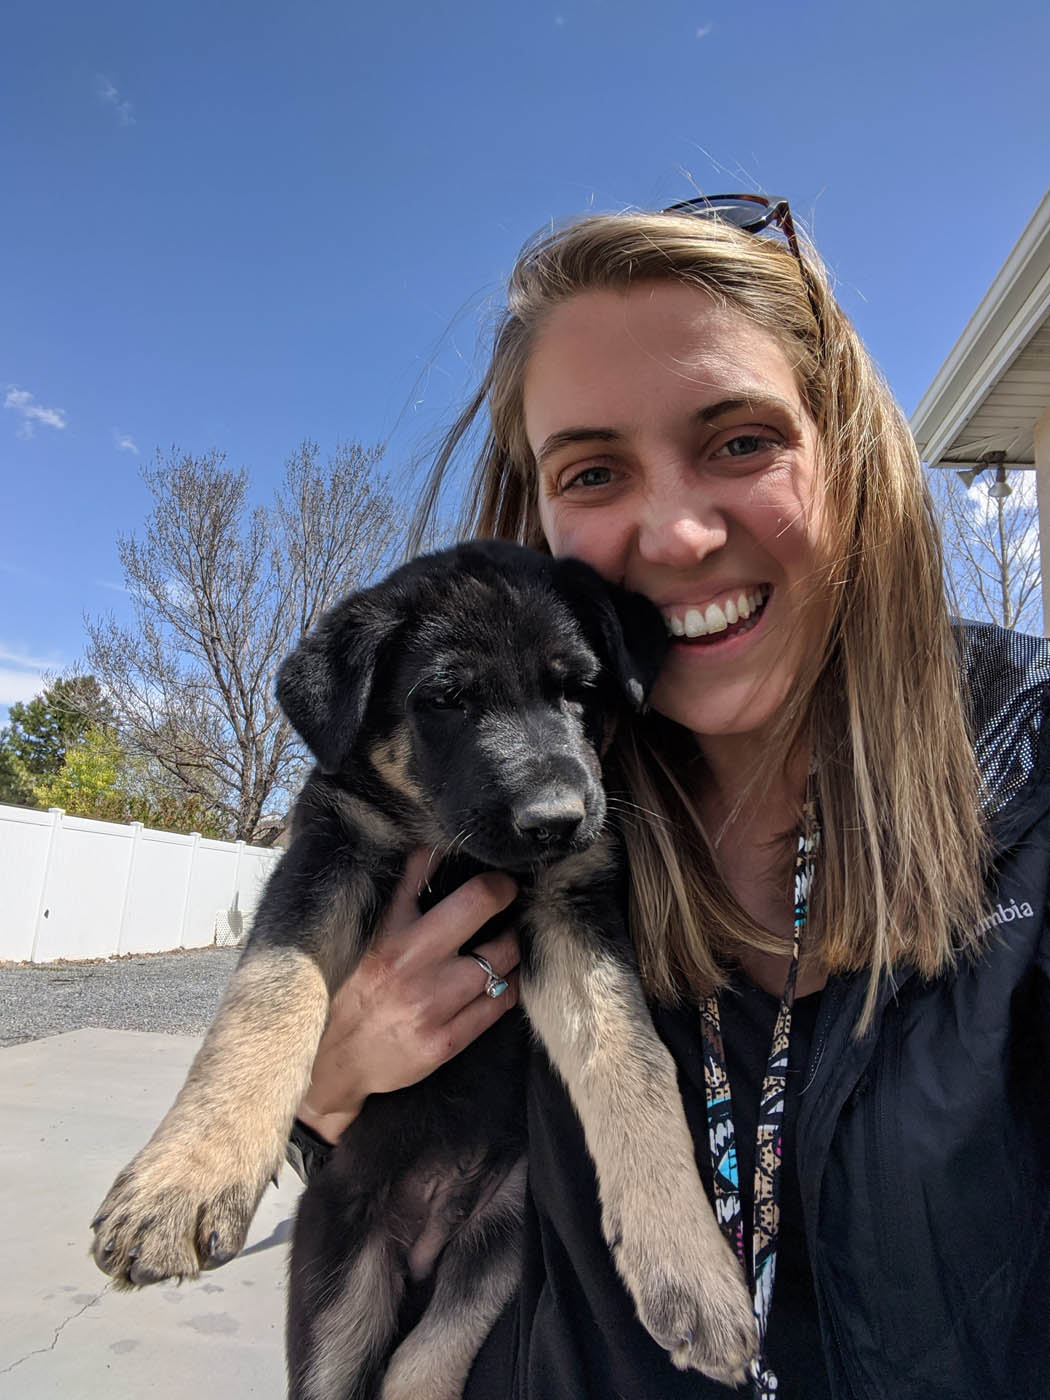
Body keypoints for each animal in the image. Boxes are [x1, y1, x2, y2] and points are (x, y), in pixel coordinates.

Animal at [90, 543, 756, 1400]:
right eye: (444, 699)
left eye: (579, 689)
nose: (558, 821)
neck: (456, 851)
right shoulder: (331, 849)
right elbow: (272, 992)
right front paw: (183, 1182)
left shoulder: (573, 906)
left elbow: (632, 1062)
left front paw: (691, 1270)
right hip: (338, 1286)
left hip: (494, 1246)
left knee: (419, 1365)